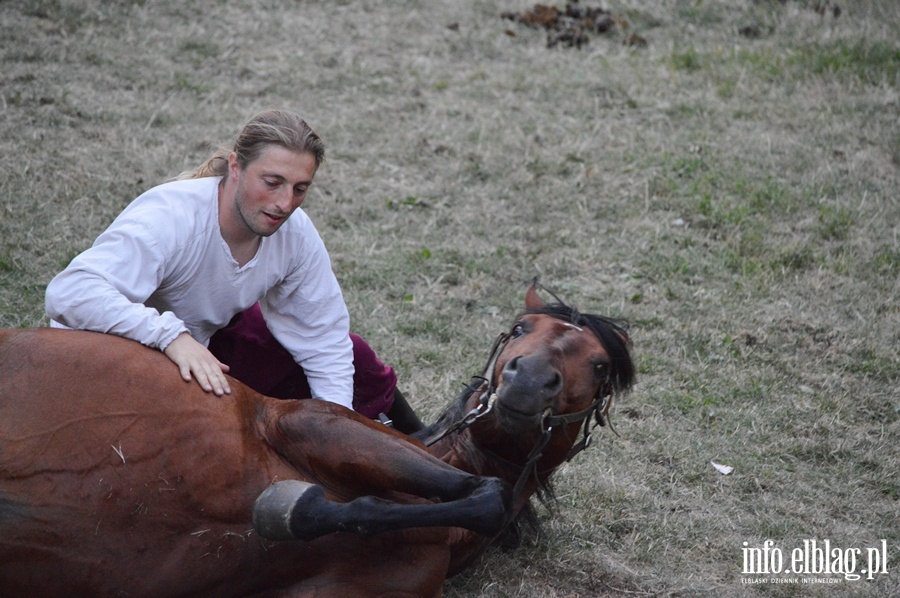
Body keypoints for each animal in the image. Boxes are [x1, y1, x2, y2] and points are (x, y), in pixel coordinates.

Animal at [0, 286, 632, 598]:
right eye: (520, 330)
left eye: (600, 366)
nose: (528, 378)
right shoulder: (308, 422)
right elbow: (485, 494)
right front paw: (294, 507)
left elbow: (486, 498)